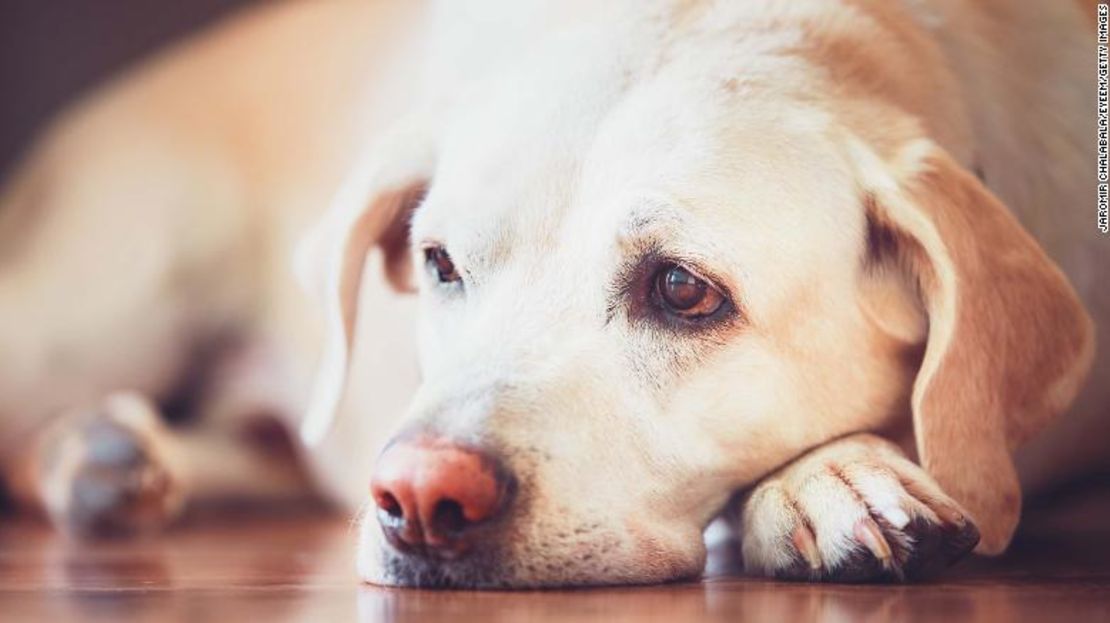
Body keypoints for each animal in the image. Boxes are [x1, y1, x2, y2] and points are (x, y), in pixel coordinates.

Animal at [0, 0, 1096, 586]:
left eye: (683, 289)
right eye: (440, 262)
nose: (418, 496)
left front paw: (831, 473)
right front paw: (830, 476)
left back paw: (110, 459)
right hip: (94, 313)